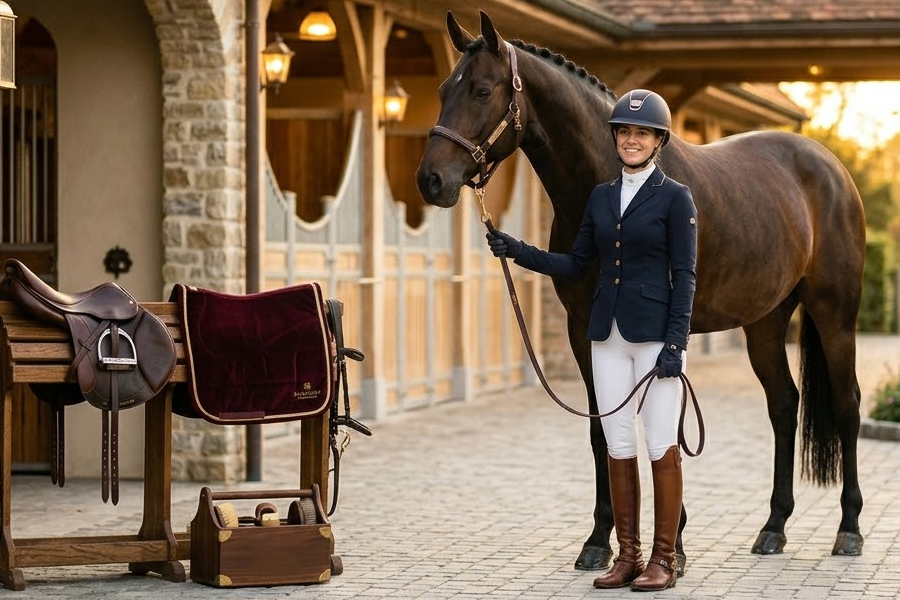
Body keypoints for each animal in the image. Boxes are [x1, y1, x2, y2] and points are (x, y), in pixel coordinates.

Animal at [416, 10, 866, 573]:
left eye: (481, 90)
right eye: (441, 89)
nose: (431, 180)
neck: (612, 185)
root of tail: (832, 168)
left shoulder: (666, 335)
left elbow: (661, 423)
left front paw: (674, 543)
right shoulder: (585, 330)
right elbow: (602, 428)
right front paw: (598, 541)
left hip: (834, 313)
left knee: (847, 404)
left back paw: (849, 530)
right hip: (765, 321)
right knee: (784, 404)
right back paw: (773, 528)